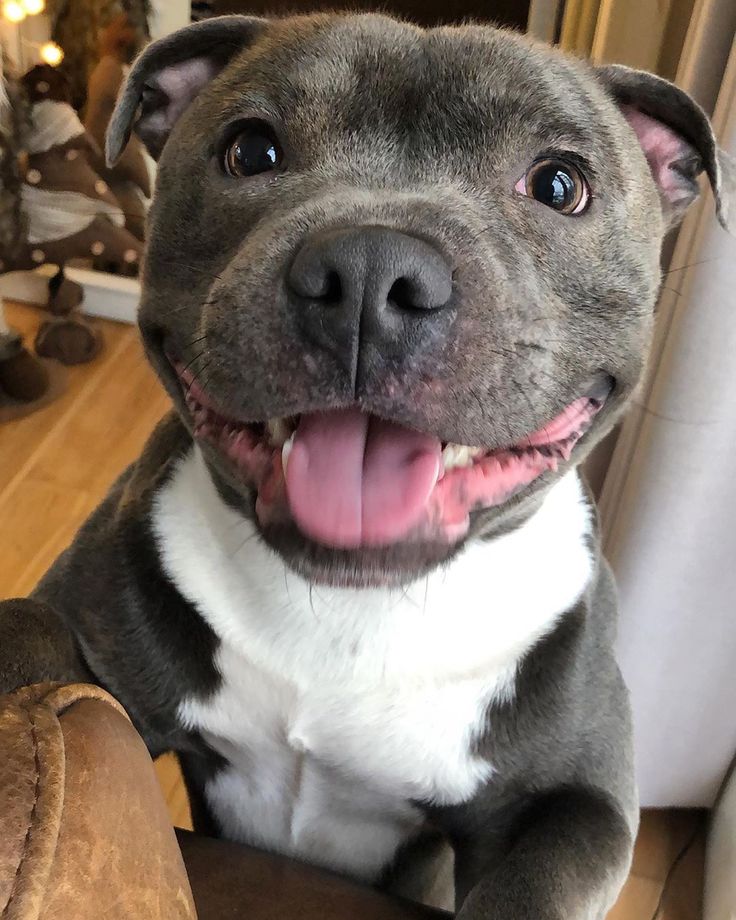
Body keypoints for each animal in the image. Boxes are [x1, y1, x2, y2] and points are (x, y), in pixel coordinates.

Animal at [2, 14, 732, 920]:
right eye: (251, 151)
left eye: (560, 184)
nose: (370, 270)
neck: (352, 608)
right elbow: (37, 655)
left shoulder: (580, 807)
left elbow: (535, 886)